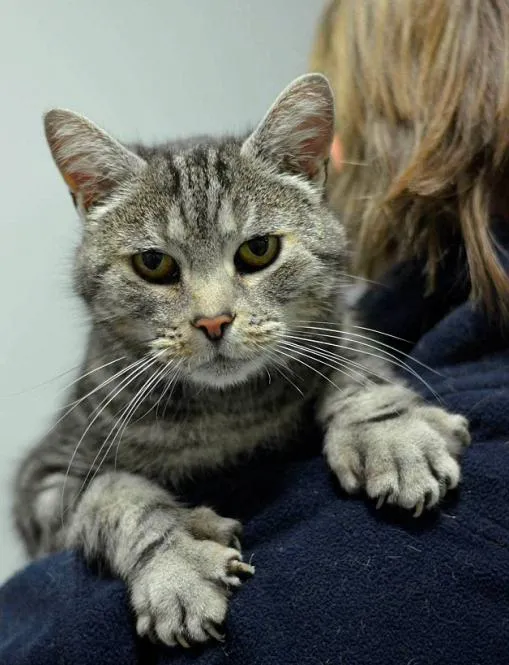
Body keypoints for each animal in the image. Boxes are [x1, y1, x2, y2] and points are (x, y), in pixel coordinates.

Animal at [14, 75, 468, 644]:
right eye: (153, 263)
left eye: (258, 250)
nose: (214, 321)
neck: (229, 414)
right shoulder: (44, 477)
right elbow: (115, 495)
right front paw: (176, 565)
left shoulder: (335, 327)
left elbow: (356, 367)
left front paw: (392, 435)